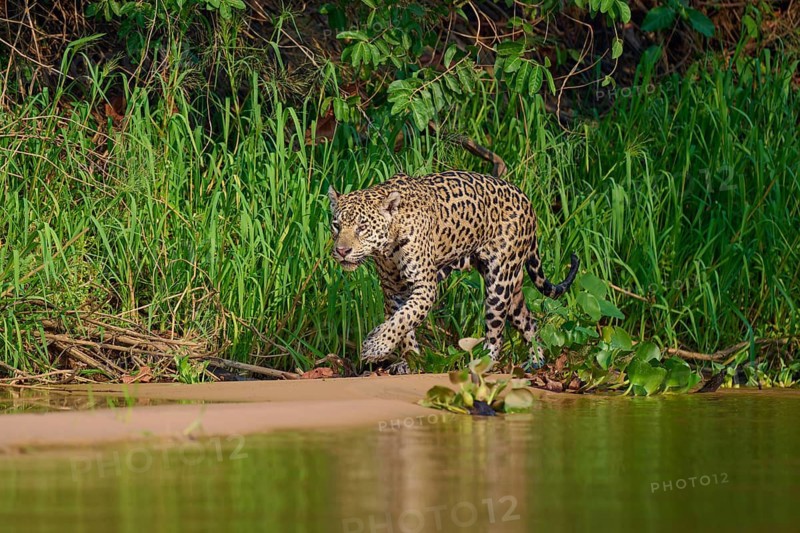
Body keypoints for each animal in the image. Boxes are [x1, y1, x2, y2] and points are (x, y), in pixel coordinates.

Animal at [328, 170, 579, 374]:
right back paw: (536, 360)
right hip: (513, 286)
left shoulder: (425, 287)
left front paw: (376, 346)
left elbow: (404, 318)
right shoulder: (393, 290)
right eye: (336, 225)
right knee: (529, 321)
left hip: (499, 284)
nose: (342, 251)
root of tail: (527, 200)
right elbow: (403, 325)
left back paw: (482, 362)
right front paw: (409, 360)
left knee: (495, 332)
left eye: (362, 227)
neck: (387, 248)